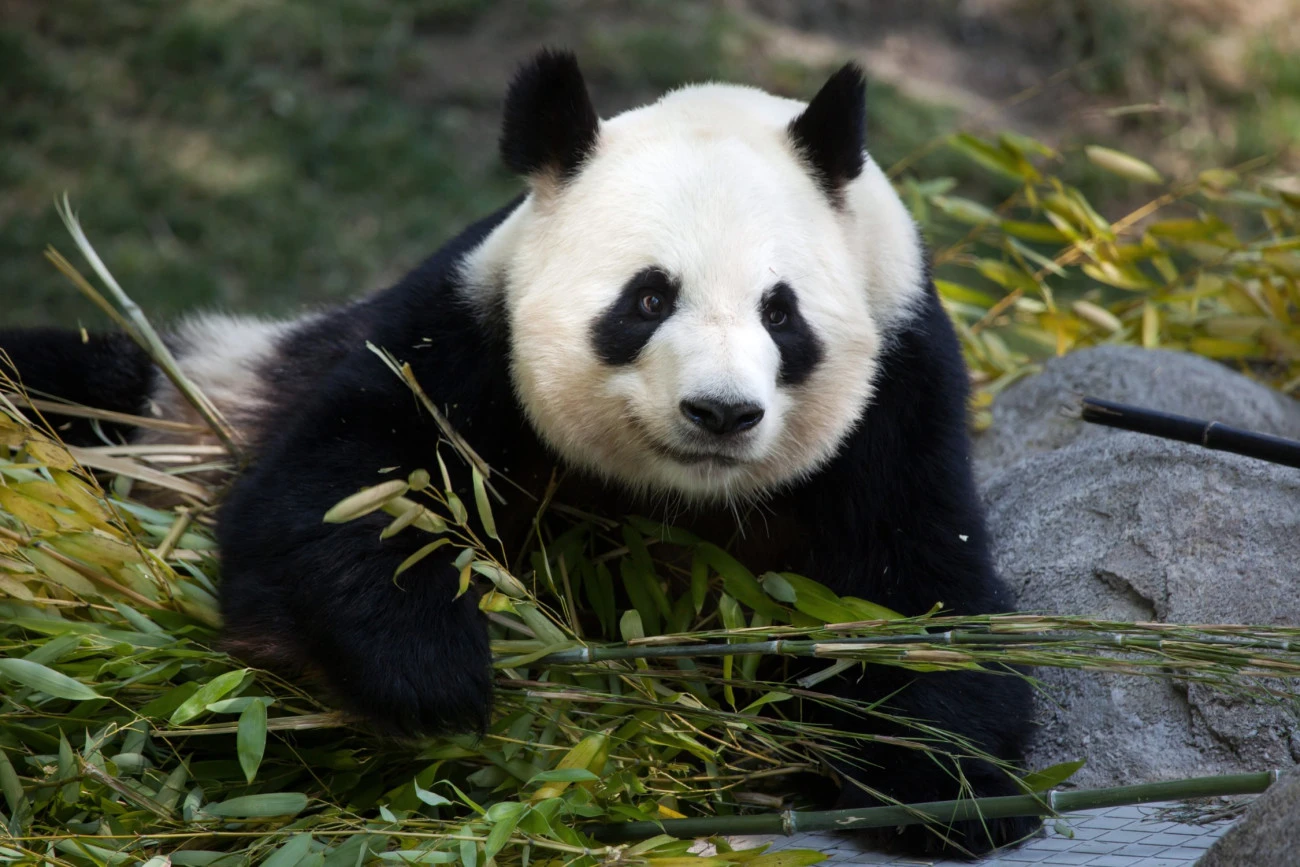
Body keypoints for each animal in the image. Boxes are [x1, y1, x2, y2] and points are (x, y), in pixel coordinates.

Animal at [1, 51, 1036, 856]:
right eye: (647, 298)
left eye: (781, 312)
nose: (721, 412)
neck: (677, 497)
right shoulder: (463, 335)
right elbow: (330, 498)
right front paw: (432, 675)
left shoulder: (899, 392)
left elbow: (917, 593)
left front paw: (945, 786)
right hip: (165, 406)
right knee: (76, 382)